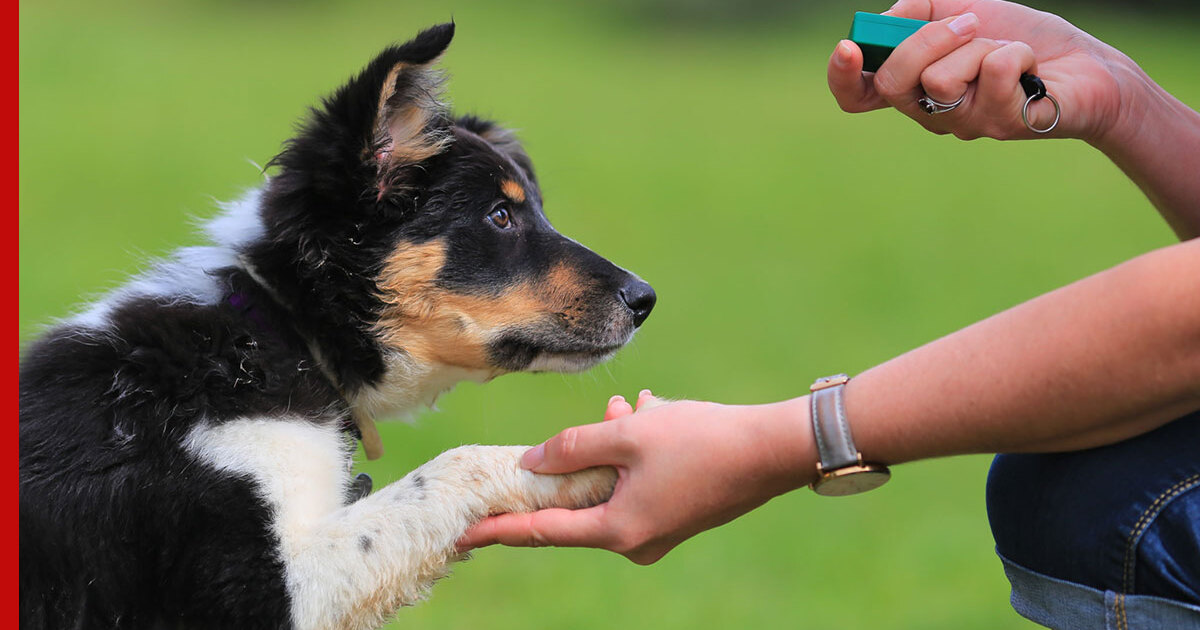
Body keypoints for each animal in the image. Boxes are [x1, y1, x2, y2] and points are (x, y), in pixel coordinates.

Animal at [18, 24, 657, 628]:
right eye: (500, 216)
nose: (645, 299)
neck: (275, 330)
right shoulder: (259, 590)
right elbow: (456, 465)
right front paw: (591, 462)